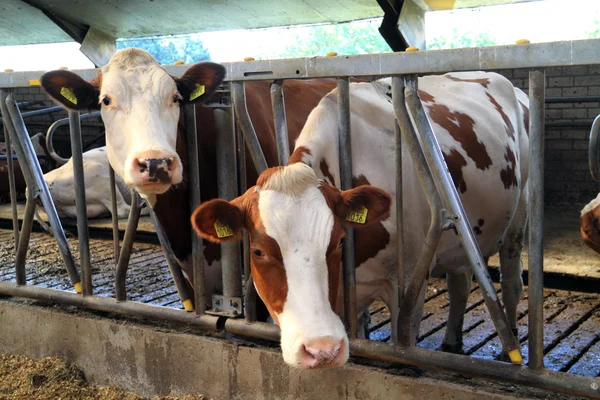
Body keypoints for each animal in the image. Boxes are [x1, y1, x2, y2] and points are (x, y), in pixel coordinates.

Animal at [193, 72, 528, 368]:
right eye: (258, 251)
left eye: (340, 241)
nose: (320, 349)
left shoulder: (409, 281)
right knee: (460, 280)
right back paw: (451, 343)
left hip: (518, 221)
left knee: (512, 282)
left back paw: (508, 351)